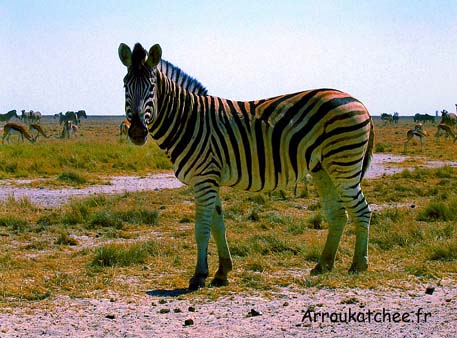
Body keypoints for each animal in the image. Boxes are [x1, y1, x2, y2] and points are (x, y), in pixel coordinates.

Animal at [118, 42, 374, 290]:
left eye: (152, 87)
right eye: (125, 86)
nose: (138, 132)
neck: (187, 120)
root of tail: (360, 103)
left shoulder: (204, 179)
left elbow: (202, 229)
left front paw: (199, 276)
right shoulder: (211, 179)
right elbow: (218, 226)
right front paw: (222, 272)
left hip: (344, 164)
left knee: (362, 210)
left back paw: (358, 265)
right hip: (323, 168)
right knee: (338, 214)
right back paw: (323, 265)